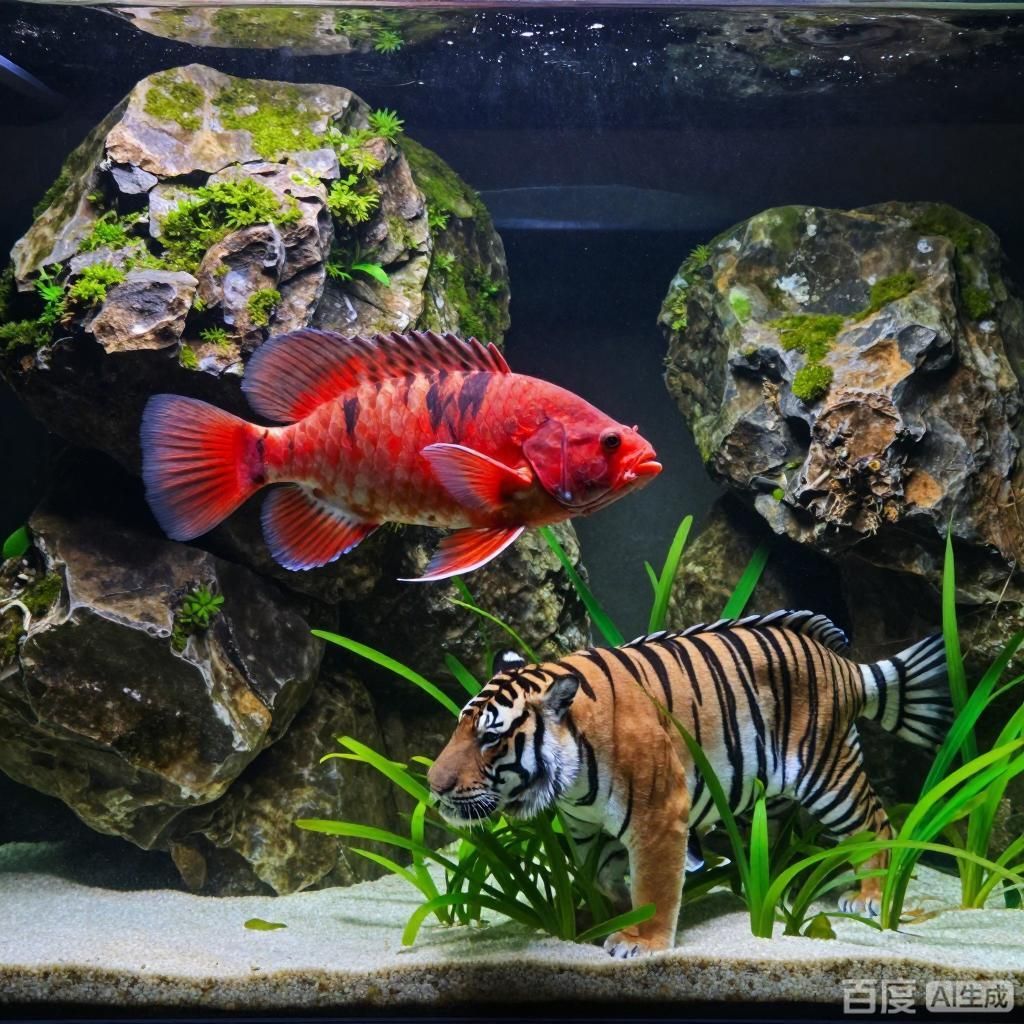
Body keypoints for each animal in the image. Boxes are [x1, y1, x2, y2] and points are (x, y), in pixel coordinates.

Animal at [427, 610, 951, 958]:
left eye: (490, 738)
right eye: (459, 727)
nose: (432, 785)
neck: (571, 783)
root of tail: (850, 669)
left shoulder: (658, 816)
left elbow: (656, 884)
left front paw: (639, 940)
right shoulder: (587, 830)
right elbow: (605, 877)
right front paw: (609, 916)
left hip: (828, 773)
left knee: (875, 824)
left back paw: (870, 898)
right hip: (775, 794)